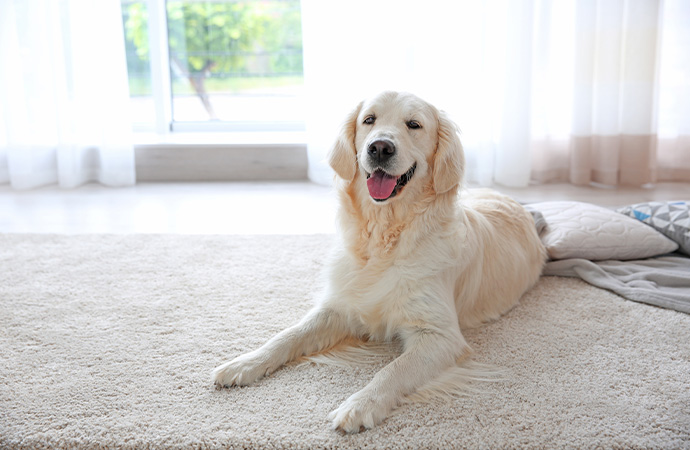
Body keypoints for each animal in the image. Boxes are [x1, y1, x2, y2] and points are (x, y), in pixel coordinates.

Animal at [212, 90, 544, 432]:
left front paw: (361, 405)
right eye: (369, 120)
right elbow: (288, 334)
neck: (384, 236)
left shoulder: (441, 336)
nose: (380, 147)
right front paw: (245, 362)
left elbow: (393, 370)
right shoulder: (340, 306)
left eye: (414, 124)